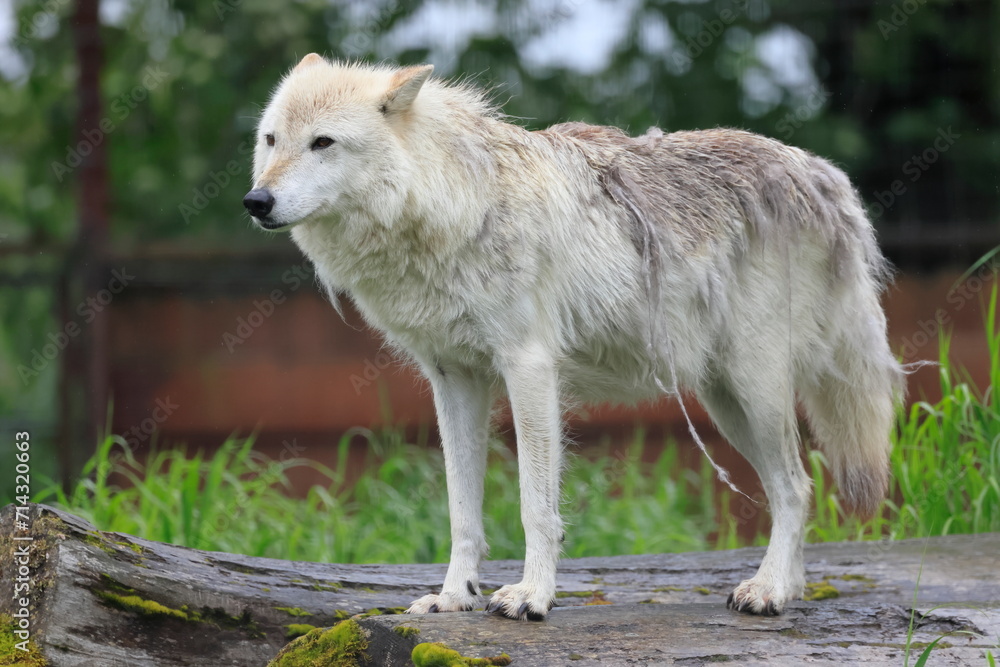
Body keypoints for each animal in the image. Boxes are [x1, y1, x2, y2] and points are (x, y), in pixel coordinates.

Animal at [244, 56, 908, 620]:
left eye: (323, 143)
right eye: (272, 140)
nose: (256, 200)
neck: (452, 203)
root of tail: (821, 174)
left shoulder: (530, 369)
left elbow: (535, 506)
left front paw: (531, 597)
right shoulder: (455, 380)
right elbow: (462, 512)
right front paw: (454, 597)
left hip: (755, 392)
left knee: (795, 487)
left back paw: (768, 592)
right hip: (726, 403)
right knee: (795, 489)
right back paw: (786, 590)